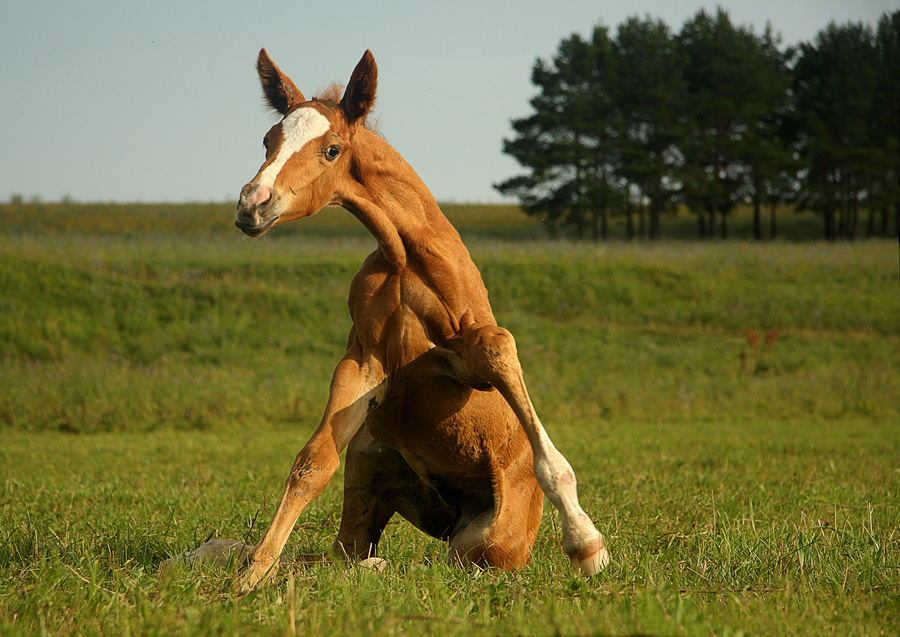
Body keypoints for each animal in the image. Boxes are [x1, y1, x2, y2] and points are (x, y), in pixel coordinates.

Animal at [171, 49, 604, 592]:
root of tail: (447, 520)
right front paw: (252, 573)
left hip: (483, 546)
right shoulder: (366, 362)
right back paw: (211, 554)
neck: (403, 256)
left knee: (430, 563)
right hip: (368, 465)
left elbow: (500, 348)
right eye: (268, 140)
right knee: (343, 554)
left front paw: (586, 544)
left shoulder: (466, 356)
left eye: (332, 149)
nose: (252, 204)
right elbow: (312, 462)